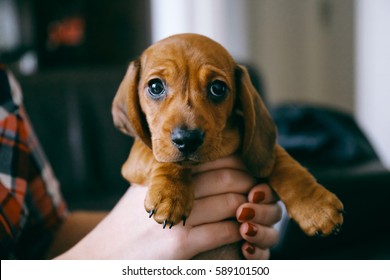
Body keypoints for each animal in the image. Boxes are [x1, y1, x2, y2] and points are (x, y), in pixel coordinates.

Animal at [112, 32, 344, 237]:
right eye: (155, 86)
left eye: (217, 88)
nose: (187, 140)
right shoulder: (135, 159)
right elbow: (159, 156)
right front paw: (171, 194)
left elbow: (283, 162)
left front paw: (315, 206)